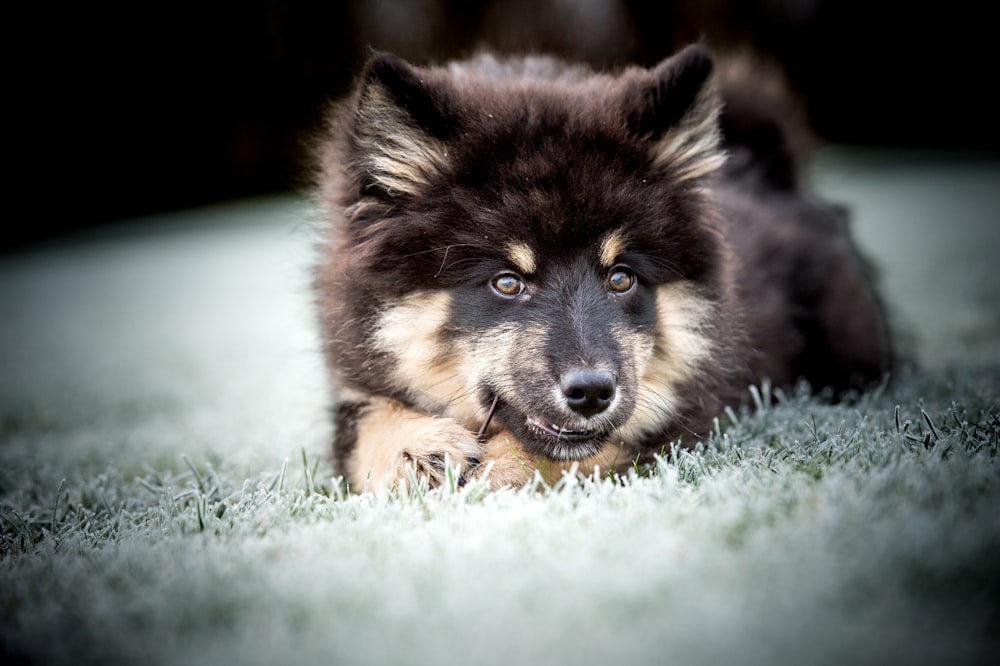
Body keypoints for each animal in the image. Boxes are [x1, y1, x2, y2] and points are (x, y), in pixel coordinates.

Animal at [312, 41, 892, 488]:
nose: (592, 392)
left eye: (620, 278)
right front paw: (419, 447)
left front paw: (490, 469)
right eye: (507, 282)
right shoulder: (353, 389)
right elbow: (365, 427)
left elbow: (570, 453)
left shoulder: (686, 410)